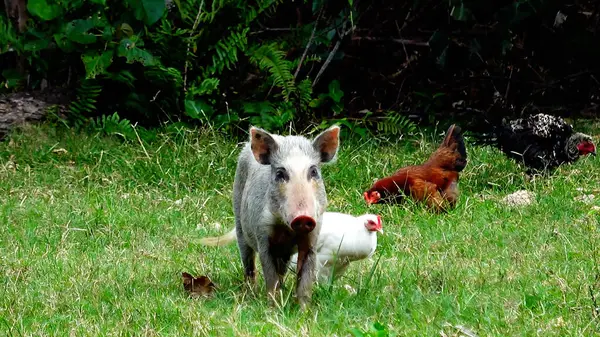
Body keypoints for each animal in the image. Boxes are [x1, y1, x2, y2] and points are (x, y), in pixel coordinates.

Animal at [199, 124, 340, 308]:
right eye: (280, 174)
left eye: (314, 171)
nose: (303, 217)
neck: (287, 231)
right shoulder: (263, 235)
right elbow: (270, 275)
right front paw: (273, 307)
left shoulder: (312, 236)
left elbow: (305, 278)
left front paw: (304, 310)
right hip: (239, 223)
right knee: (248, 263)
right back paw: (250, 293)